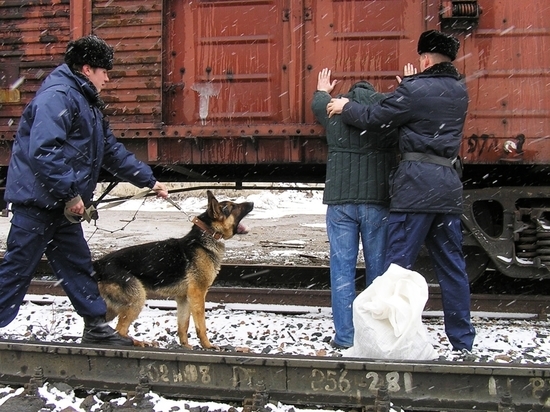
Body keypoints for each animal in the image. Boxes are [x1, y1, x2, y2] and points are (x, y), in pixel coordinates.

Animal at [92, 190, 254, 348]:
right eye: (233, 207)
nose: (252, 203)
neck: (208, 234)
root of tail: (99, 263)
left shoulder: (183, 299)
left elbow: (183, 325)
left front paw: (185, 346)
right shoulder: (197, 294)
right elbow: (201, 324)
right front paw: (207, 345)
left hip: (113, 308)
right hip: (137, 298)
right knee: (120, 330)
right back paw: (138, 343)